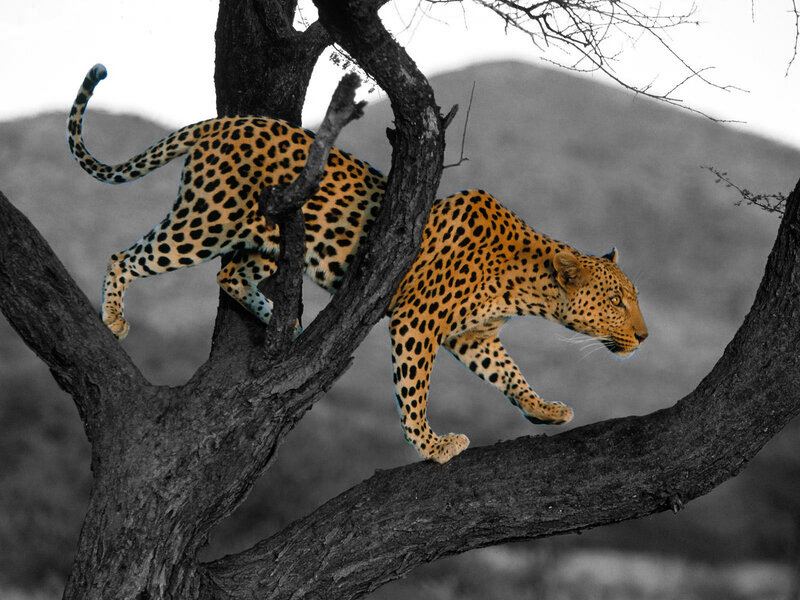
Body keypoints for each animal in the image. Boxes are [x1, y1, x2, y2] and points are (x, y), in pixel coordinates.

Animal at [67, 64, 648, 464]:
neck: (526, 287)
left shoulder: (474, 335)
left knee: (230, 274)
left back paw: (288, 323)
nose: (643, 337)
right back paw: (115, 317)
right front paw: (432, 445)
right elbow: (413, 389)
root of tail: (223, 122)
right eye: (619, 301)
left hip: (264, 238)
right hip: (206, 220)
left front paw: (542, 408)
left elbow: (510, 373)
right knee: (129, 255)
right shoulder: (418, 320)